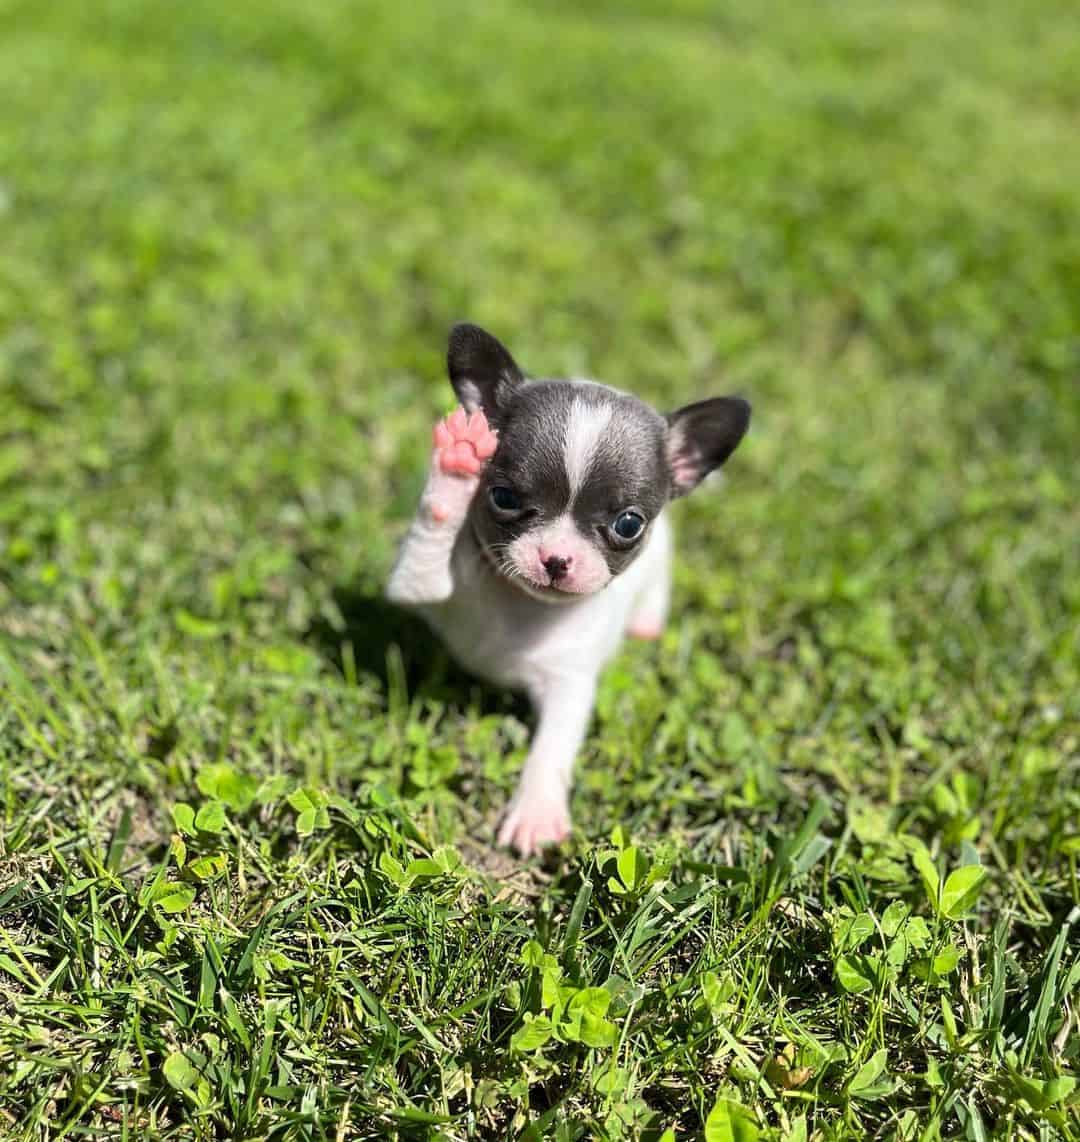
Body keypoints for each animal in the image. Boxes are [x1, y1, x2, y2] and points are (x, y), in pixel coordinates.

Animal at [388, 326, 748, 854]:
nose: (556, 558)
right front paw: (455, 468)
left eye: (627, 524)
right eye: (503, 497)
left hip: (661, 560)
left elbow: (551, 748)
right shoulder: (415, 585)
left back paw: (646, 625)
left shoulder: (568, 688)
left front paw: (536, 810)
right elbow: (429, 537)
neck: (522, 606)